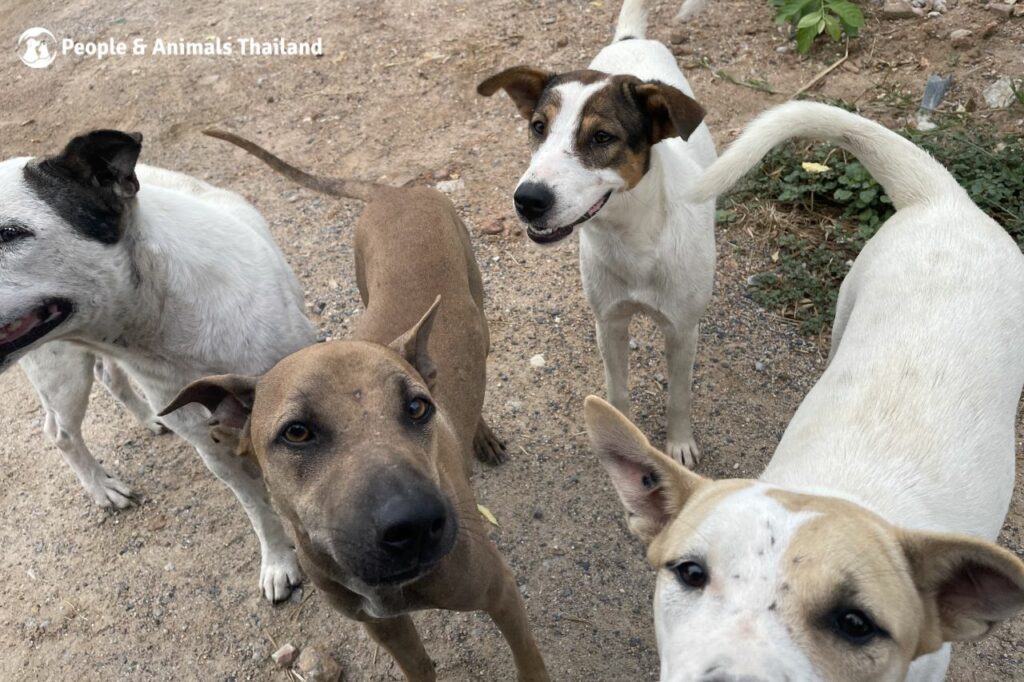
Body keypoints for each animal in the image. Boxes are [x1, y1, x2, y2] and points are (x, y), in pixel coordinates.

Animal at [0, 131, 313, 602]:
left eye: (9, 233)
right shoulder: (214, 449)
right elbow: (259, 510)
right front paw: (279, 562)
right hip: (60, 372)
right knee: (60, 431)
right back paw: (103, 488)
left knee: (109, 377)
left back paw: (148, 418)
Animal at [160, 134, 548, 679]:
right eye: (296, 432)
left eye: (418, 409)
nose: (414, 524)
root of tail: (394, 191)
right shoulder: (385, 628)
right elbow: (418, 666)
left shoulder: (500, 593)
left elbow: (530, 661)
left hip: (479, 309)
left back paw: (483, 435)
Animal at [477, 0, 712, 464]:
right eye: (538, 127)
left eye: (602, 137)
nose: (527, 199)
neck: (634, 239)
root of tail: (631, 40)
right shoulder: (610, 323)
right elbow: (617, 392)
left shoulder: (682, 330)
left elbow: (679, 396)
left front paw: (678, 444)